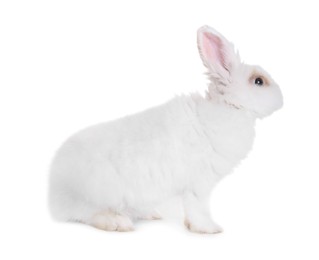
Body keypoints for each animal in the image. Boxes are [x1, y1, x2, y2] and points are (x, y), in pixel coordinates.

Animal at [48, 25, 284, 234]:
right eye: (259, 81)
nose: (281, 98)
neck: (229, 107)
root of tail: (54, 190)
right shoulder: (199, 184)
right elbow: (198, 209)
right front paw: (210, 229)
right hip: (97, 193)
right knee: (87, 214)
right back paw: (118, 223)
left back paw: (151, 214)